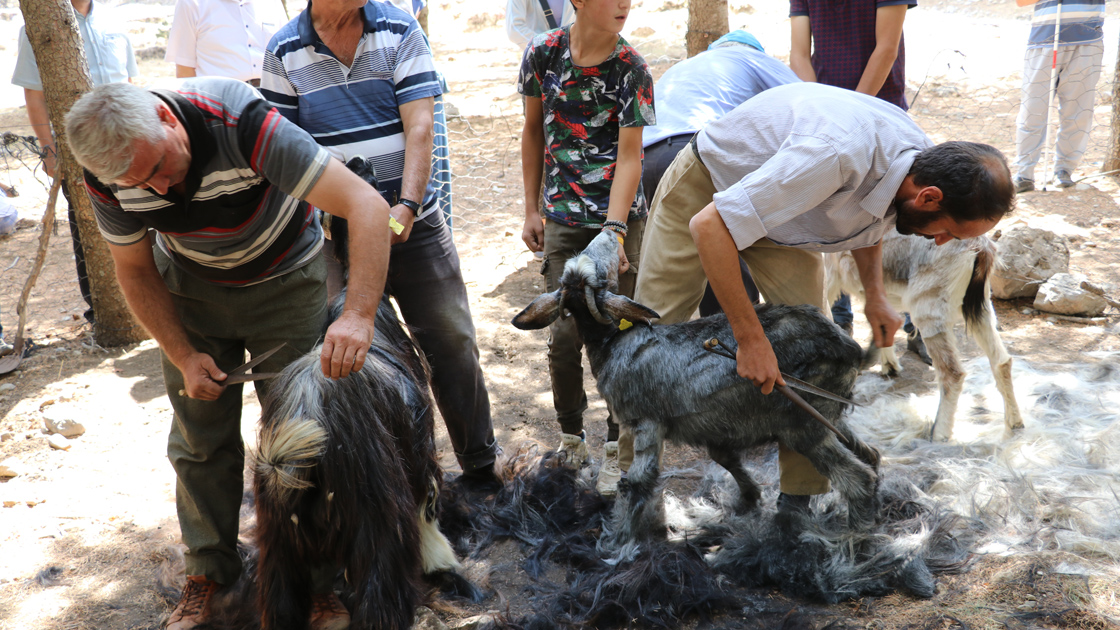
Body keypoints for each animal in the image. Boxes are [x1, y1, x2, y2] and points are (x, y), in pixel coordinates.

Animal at [254, 295, 459, 627]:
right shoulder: (420, 451)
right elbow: (426, 508)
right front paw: (440, 559)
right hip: (377, 517)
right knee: (381, 593)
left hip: (278, 539)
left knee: (280, 601)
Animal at [512, 230, 878, 540]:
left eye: (598, 273)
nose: (609, 235)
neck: (613, 340)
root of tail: (851, 348)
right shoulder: (713, 428)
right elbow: (725, 459)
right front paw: (747, 501)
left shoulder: (647, 422)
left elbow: (637, 482)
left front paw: (621, 542)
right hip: (827, 412)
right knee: (870, 455)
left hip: (804, 423)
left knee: (859, 479)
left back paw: (857, 537)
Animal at [824, 227, 1025, 439]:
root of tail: (981, 249)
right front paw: (889, 366)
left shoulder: (828, 275)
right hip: (981, 309)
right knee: (1002, 362)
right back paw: (1015, 423)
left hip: (929, 308)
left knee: (952, 373)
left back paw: (939, 434)